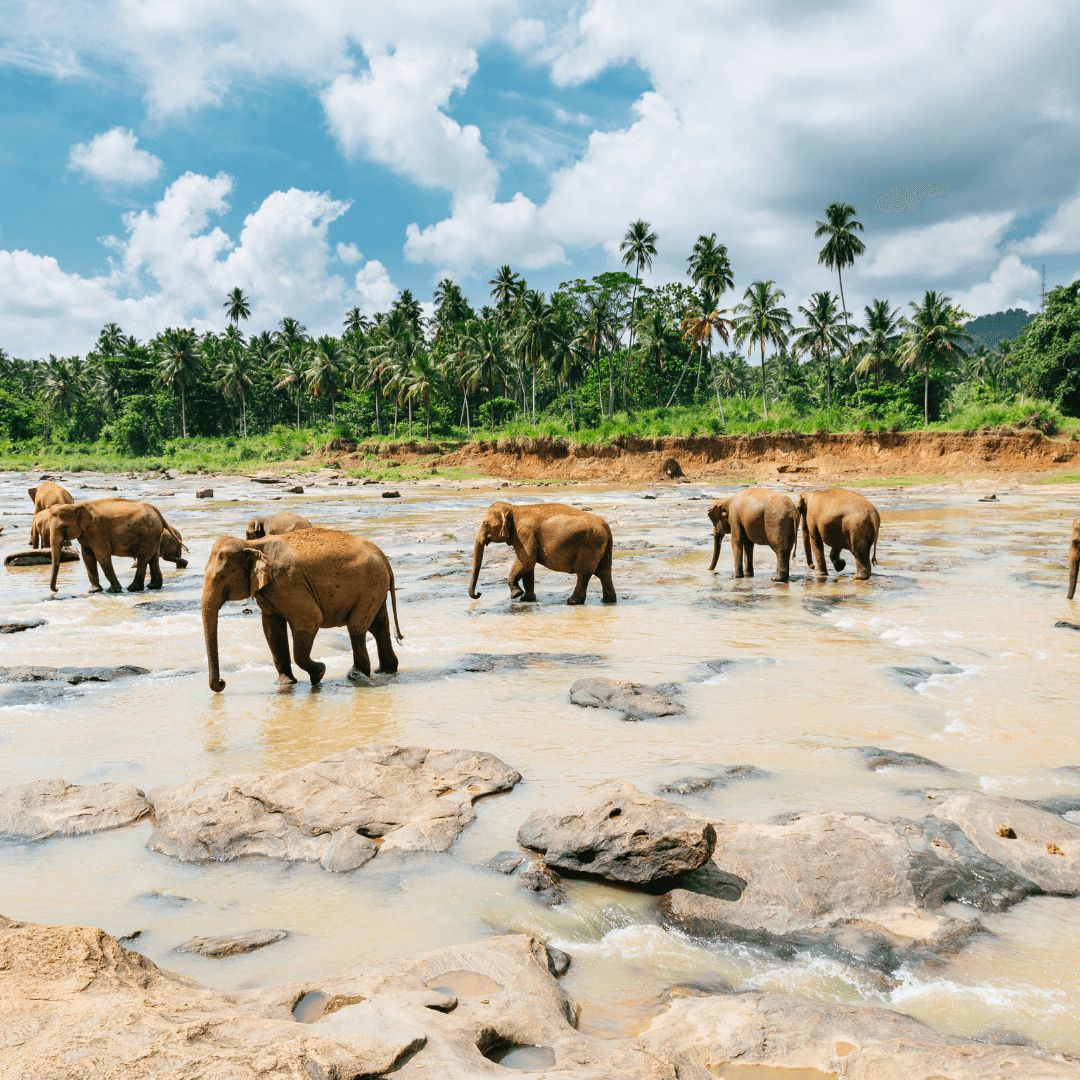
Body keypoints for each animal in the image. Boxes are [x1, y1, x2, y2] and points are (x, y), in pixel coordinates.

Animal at [45, 498, 176, 593]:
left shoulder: (97, 530)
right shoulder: (87, 533)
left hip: (149, 533)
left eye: (63, 528)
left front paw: (113, 590)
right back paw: (153, 587)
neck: (75, 506)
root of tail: (159, 514)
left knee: (143, 558)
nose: (57, 589)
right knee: (153, 558)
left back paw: (133, 588)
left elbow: (102, 556)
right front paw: (94, 591)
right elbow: (87, 557)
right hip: (153, 534)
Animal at [202, 527, 402, 693]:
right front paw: (284, 683)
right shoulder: (270, 590)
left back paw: (356, 675)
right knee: (379, 626)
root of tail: (382, 555)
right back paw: (385, 670)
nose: (222, 683)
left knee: (356, 627)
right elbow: (272, 630)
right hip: (376, 586)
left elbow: (310, 619)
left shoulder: (287, 580)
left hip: (371, 584)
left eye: (221, 577)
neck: (252, 545)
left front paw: (319, 673)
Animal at [468, 501, 616, 605]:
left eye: (486, 525)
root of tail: (607, 528)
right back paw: (608, 601)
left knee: (584, 574)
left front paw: (515, 595)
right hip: (602, 547)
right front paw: (525, 599)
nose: (479, 593)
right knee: (604, 572)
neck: (514, 508)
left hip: (589, 546)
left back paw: (572, 602)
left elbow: (527, 561)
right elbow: (528, 566)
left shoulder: (525, 534)